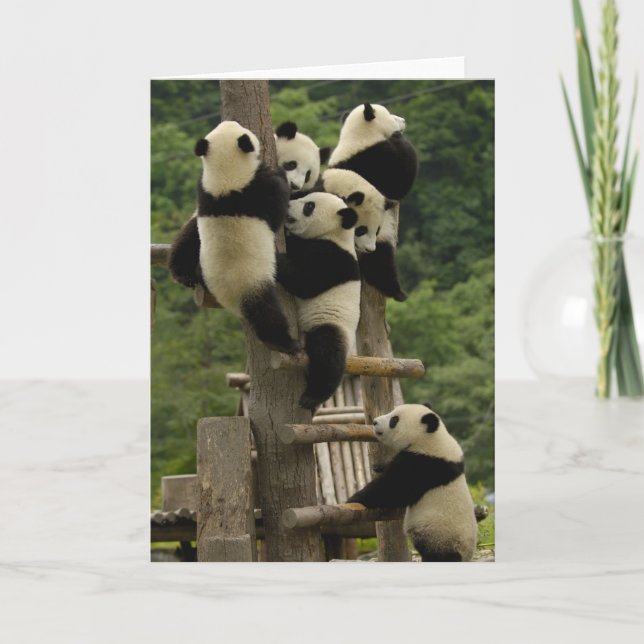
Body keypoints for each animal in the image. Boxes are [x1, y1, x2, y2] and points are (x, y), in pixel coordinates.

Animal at [170, 120, 299, 355]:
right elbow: (276, 209)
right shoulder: (257, 191)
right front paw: (279, 173)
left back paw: (183, 274)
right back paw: (285, 343)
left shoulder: (204, 190)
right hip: (251, 283)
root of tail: (223, 297)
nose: (230, 120)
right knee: (266, 314)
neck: (225, 177)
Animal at [276, 192, 360, 410]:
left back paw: (313, 397)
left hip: (330, 324)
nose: (288, 205)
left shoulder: (334, 258)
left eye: (309, 206)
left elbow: (304, 282)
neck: (336, 233)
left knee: (328, 355)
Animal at [348, 403, 478, 562]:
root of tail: (466, 556)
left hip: (441, 536)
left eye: (394, 420)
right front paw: (379, 466)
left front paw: (353, 499)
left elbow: (393, 488)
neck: (431, 438)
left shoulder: (423, 465)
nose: (375, 422)